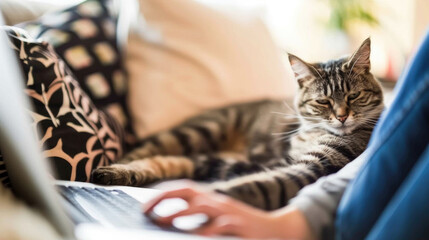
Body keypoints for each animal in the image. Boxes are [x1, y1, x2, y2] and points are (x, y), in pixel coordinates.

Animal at [91, 38, 384, 210]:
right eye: (323, 101)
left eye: (353, 96)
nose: (342, 116)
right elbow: (165, 160)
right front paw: (120, 172)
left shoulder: (308, 167)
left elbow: (257, 185)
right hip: (199, 131)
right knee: (143, 150)